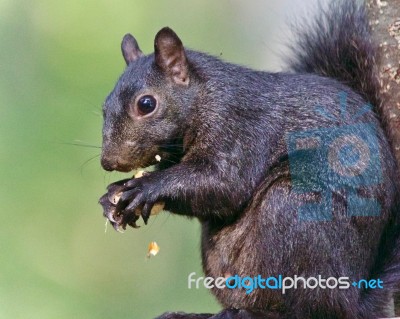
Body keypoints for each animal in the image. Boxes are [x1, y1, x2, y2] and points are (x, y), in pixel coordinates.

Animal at [98, 1, 400, 318]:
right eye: (105, 107)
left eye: (146, 104)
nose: (109, 162)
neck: (205, 97)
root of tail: (355, 299)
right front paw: (113, 196)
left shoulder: (240, 129)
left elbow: (224, 185)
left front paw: (146, 187)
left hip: (293, 211)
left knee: (311, 309)